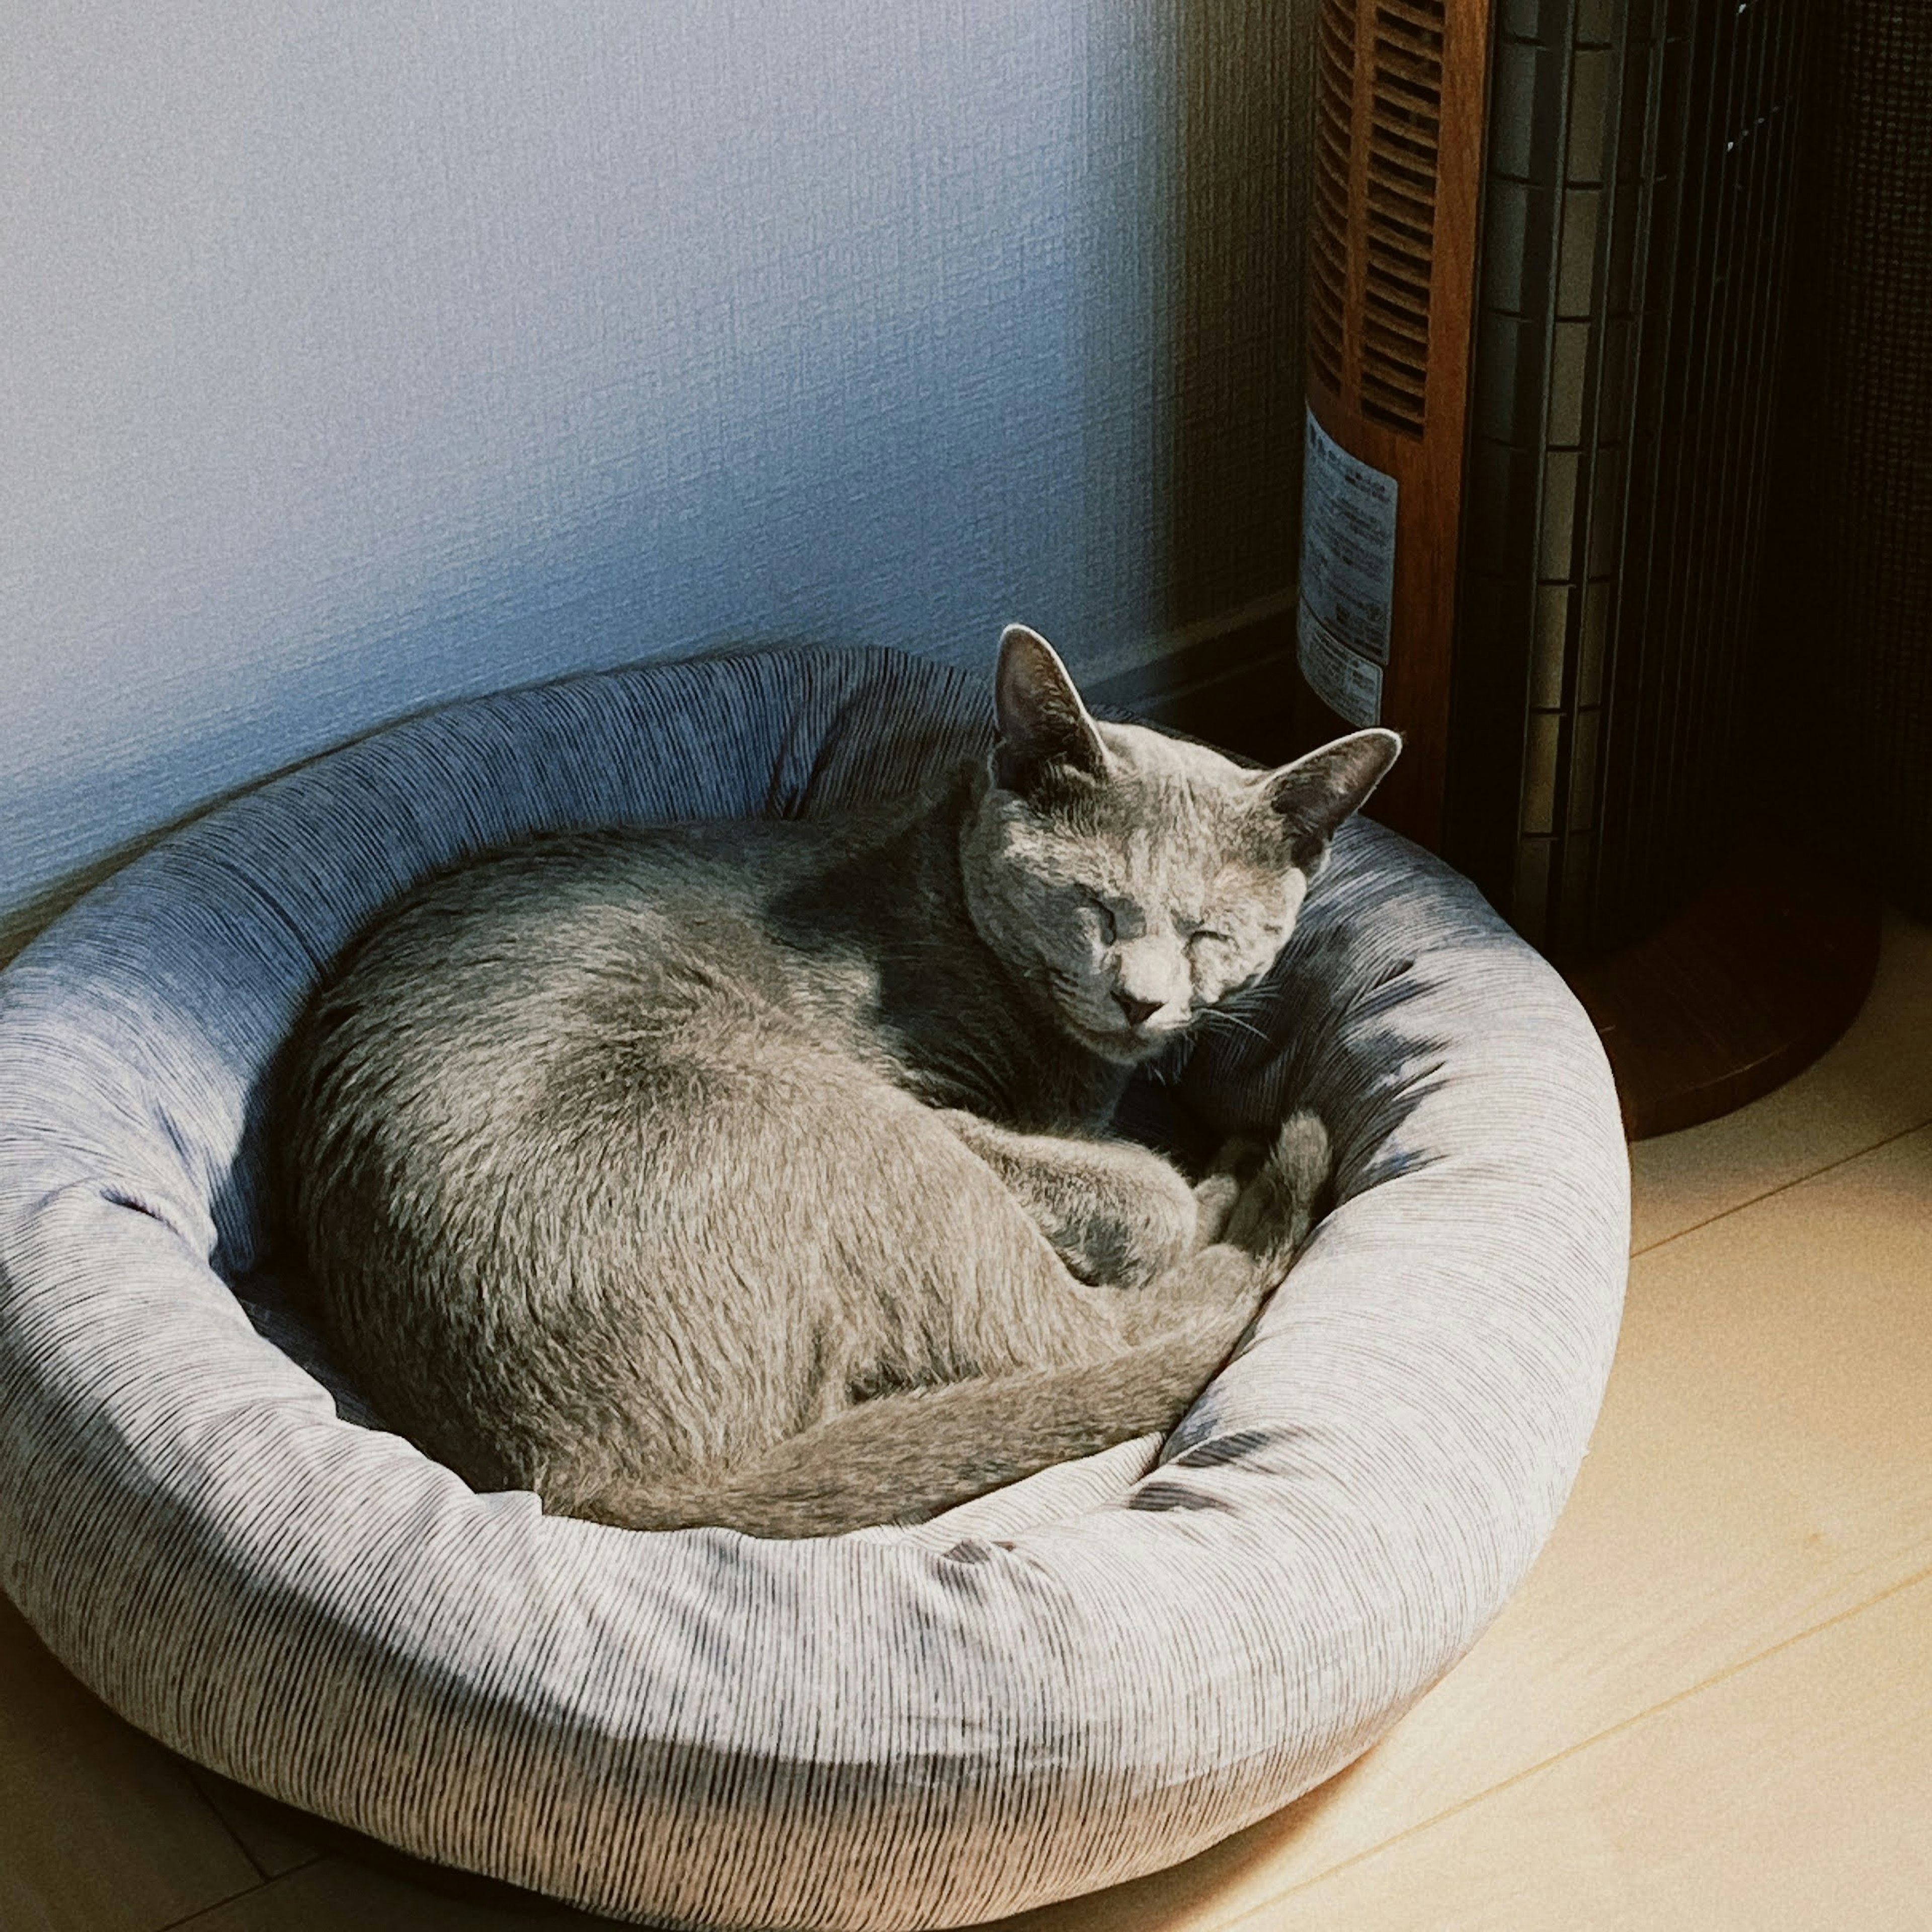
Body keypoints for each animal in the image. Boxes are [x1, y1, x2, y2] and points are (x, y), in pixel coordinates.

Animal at [280, 626, 1399, 1530]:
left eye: (1211, 932)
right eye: (1096, 903)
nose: (1142, 999)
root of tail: (566, 1477)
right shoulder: (924, 1101)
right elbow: (1137, 1197)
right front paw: (1178, 1187)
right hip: (839, 1117)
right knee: (1088, 1335)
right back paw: (1242, 1187)